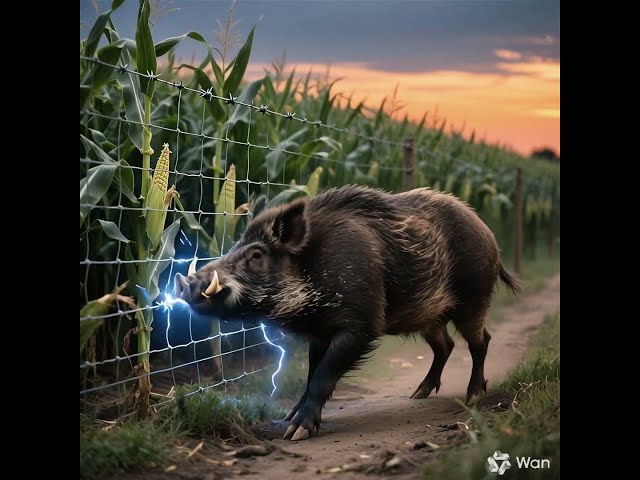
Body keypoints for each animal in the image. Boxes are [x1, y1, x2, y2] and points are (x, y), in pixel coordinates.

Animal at [174, 185, 521, 441]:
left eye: (256, 254)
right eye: (236, 245)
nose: (187, 283)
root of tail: (490, 235)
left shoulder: (361, 324)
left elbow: (323, 375)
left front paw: (296, 432)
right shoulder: (319, 333)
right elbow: (312, 373)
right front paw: (288, 417)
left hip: (473, 300)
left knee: (481, 342)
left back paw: (472, 397)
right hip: (429, 316)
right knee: (445, 346)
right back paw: (417, 395)